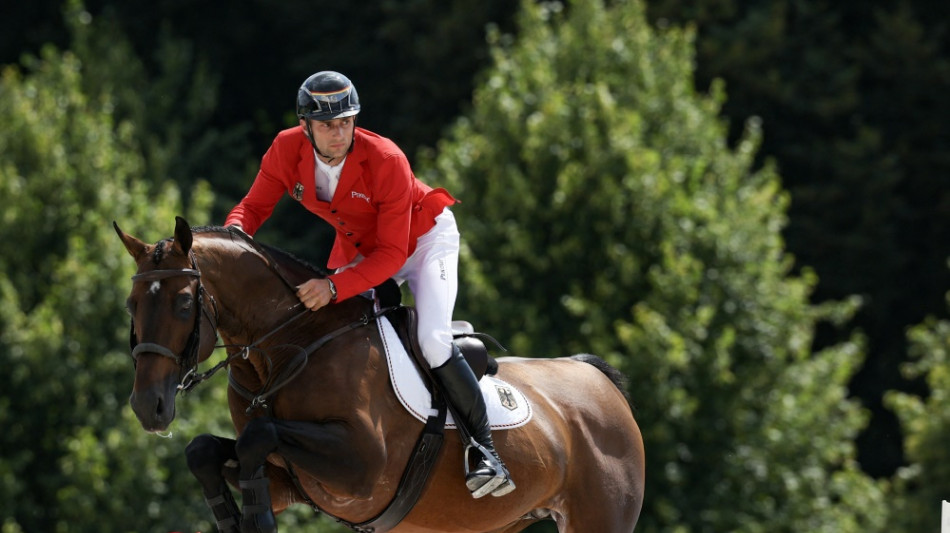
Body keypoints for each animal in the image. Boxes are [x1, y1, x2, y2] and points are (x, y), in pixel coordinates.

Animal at [113, 216, 648, 532]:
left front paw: (255, 518)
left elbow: (257, 436)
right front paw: (234, 516)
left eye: (184, 305)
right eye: (131, 304)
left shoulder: (361, 466)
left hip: (597, 519)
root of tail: (597, 381)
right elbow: (205, 450)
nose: (148, 407)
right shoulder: (295, 480)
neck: (289, 348)